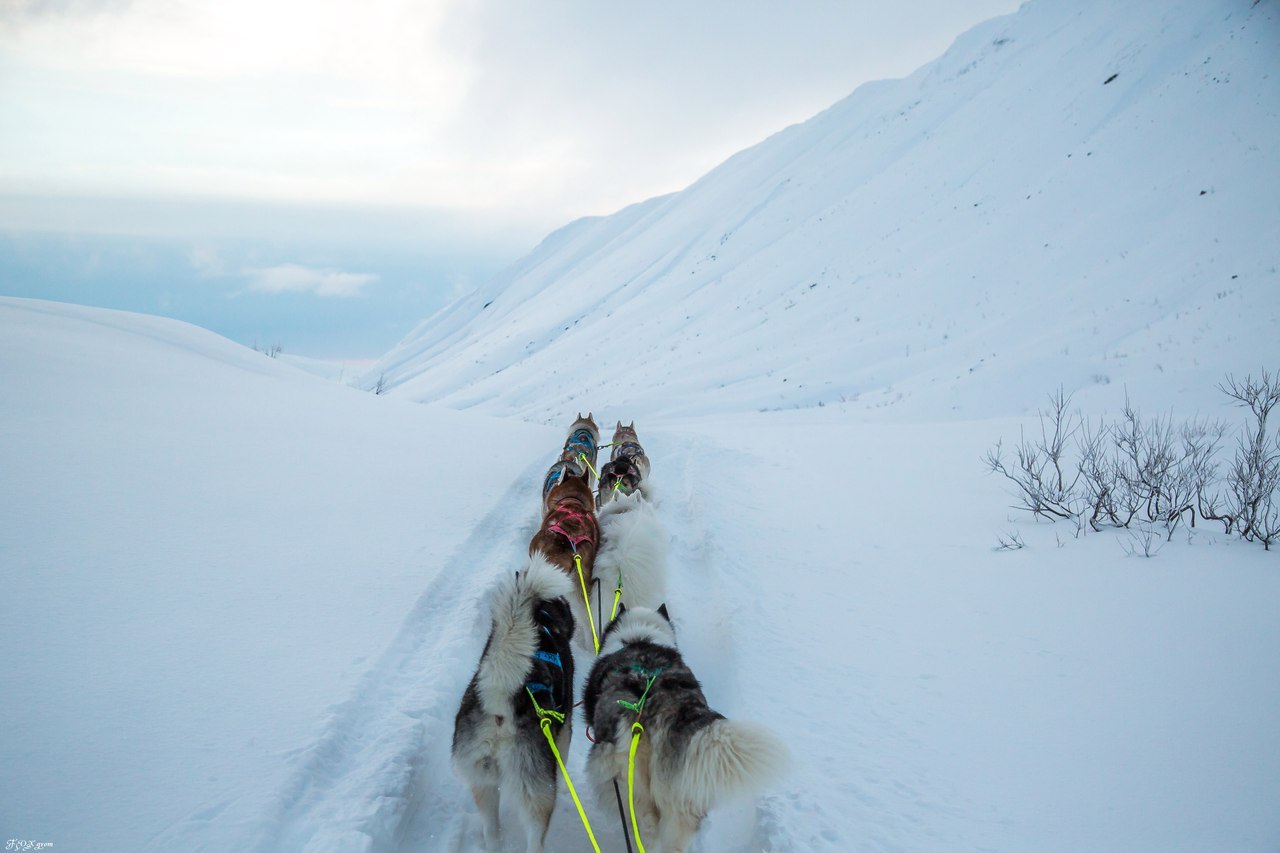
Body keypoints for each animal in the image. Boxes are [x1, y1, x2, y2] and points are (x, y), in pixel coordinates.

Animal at [448, 555, 573, 845]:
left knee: (491, 832)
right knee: (535, 837)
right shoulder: (564, 730)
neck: (543, 622)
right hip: (538, 793)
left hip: (482, 782)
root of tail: (499, 703)